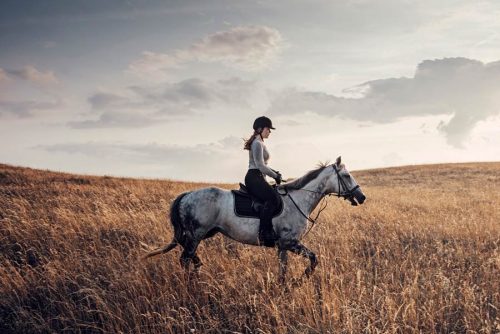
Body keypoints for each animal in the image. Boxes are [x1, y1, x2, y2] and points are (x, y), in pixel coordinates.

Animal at [146, 157, 368, 282]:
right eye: (346, 176)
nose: (361, 197)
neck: (298, 199)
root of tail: (187, 195)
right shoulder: (290, 242)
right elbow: (313, 260)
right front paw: (298, 282)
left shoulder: (282, 247)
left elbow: (284, 271)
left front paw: (286, 287)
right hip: (196, 235)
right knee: (185, 259)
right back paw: (191, 284)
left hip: (201, 234)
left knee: (189, 256)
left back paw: (198, 273)